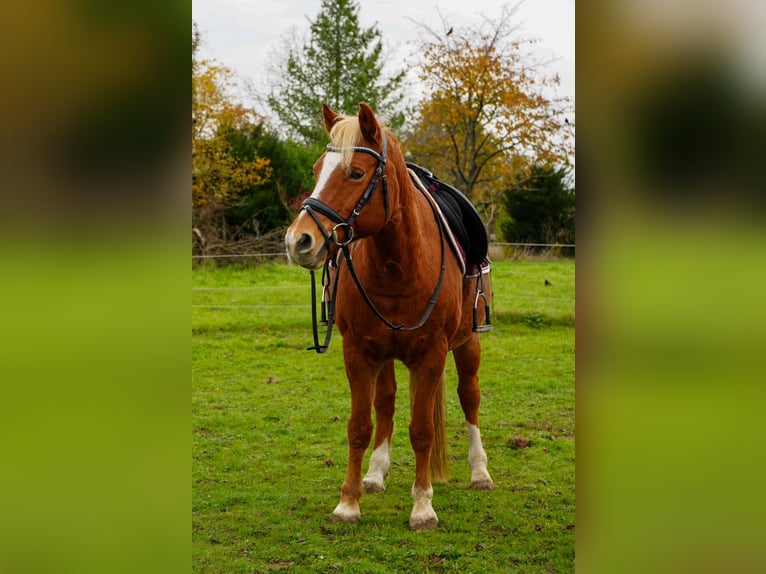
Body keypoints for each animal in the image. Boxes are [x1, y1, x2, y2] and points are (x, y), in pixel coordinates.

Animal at [284, 102, 493, 530]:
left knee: (470, 397)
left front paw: (423, 507)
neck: (399, 265)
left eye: (355, 173)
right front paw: (349, 502)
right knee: (386, 402)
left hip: (468, 343)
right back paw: (375, 473)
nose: (298, 241)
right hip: (385, 354)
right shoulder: (359, 352)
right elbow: (360, 426)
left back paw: (480, 471)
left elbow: (422, 430)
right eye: (316, 170)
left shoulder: (431, 354)